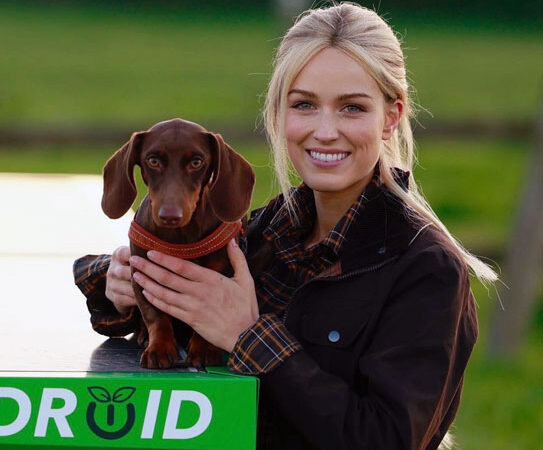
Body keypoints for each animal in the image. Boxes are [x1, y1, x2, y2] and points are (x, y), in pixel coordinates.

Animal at [100, 118, 258, 368]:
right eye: (153, 160)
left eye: (196, 162)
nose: (169, 216)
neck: (181, 238)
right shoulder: (141, 275)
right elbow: (155, 316)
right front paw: (160, 348)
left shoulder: (219, 277)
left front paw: (204, 349)